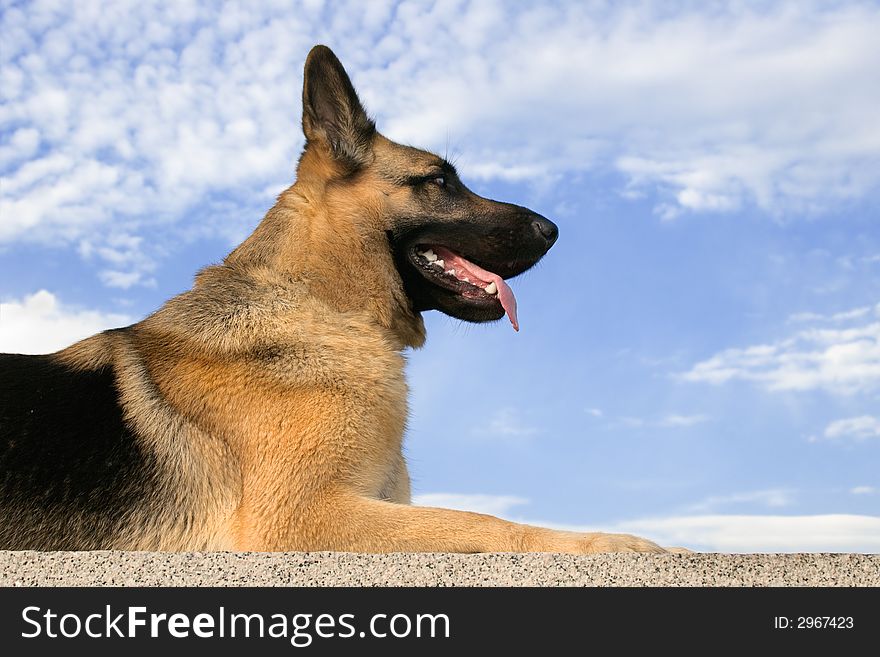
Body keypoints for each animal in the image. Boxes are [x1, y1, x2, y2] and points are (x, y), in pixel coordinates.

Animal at [0, 44, 660, 552]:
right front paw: (609, 543)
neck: (321, 306)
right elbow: (478, 520)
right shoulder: (305, 516)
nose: (553, 230)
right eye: (440, 180)